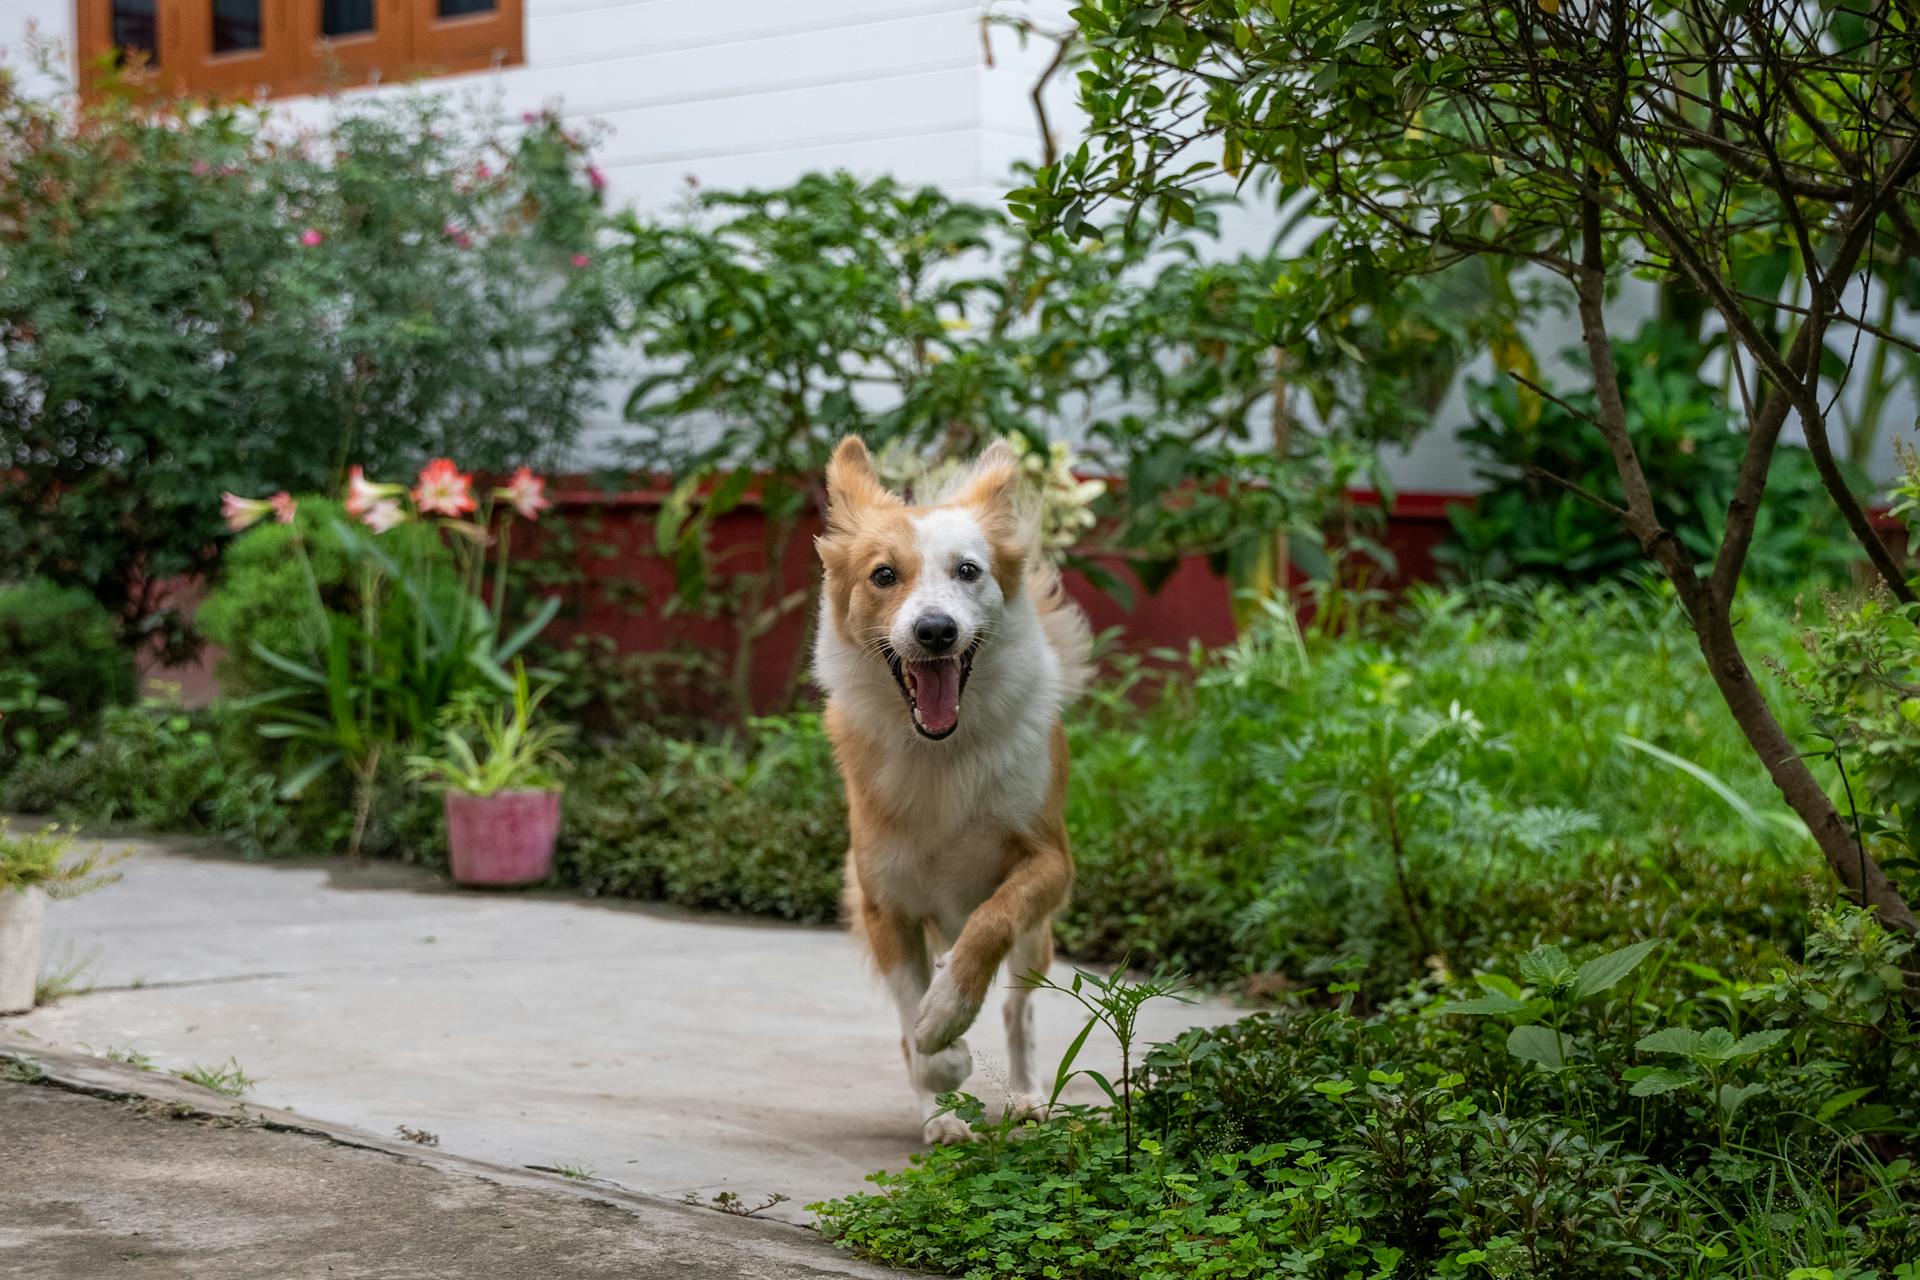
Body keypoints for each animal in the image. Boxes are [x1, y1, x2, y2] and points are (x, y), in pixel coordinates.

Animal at [806, 435, 1090, 1143]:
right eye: (884, 575)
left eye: (968, 571)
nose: (935, 631)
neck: (940, 753)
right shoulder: (884, 902)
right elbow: (911, 1026)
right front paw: (942, 1061)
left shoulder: (1050, 862)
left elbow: (991, 921)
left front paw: (947, 1014)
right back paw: (941, 1116)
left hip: (1036, 941)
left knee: (1019, 1010)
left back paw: (1026, 1095)